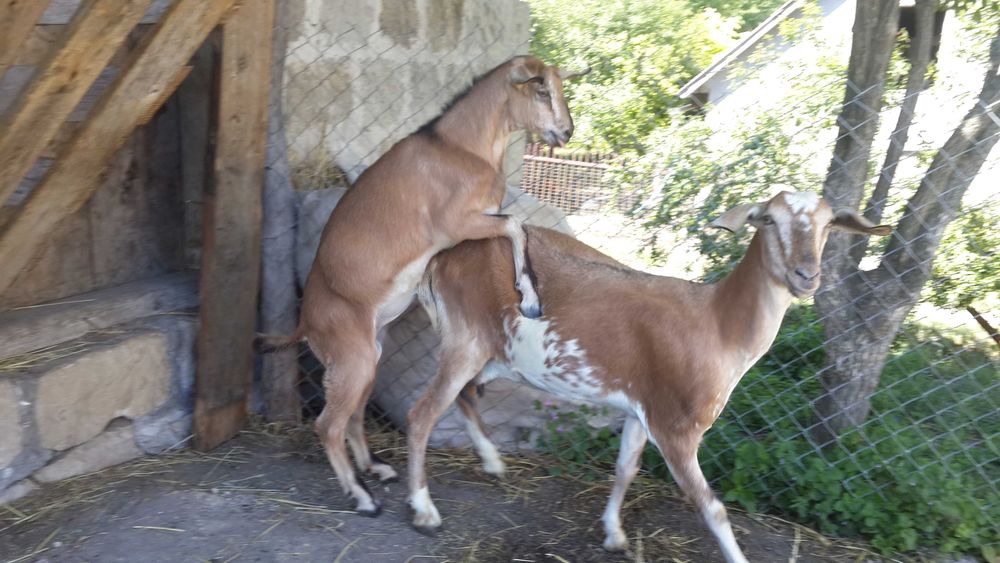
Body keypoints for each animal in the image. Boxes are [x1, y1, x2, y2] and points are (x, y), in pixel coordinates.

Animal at [255, 56, 586, 516]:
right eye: (541, 90)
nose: (566, 131)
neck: (460, 147)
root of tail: (305, 321)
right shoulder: (460, 223)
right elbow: (516, 225)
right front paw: (531, 299)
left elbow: (514, 227)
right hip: (353, 359)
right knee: (328, 424)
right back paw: (362, 496)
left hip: (369, 355)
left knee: (353, 416)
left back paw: (376, 469)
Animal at [407, 191, 890, 563]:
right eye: (769, 220)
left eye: (828, 224)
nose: (806, 276)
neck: (718, 325)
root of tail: (440, 261)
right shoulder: (677, 427)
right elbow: (712, 508)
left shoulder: (641, 409)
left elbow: (626, 468)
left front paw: (615, 535)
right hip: (465, 340)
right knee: (422, 413)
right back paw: (425, 510)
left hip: (487, 352)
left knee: (463, 396)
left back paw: (493, 462)